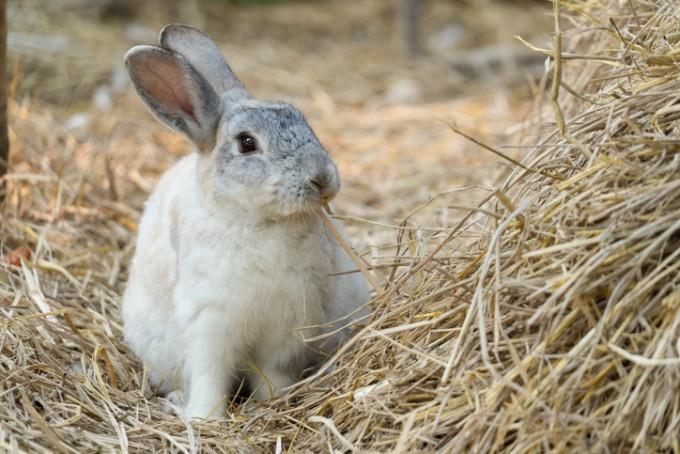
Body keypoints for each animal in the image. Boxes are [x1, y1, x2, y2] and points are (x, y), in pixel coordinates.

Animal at [119, 22, 370, 418]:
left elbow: (273, 373)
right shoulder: (210, 323)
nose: (322, 178)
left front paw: (274, 402)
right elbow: (210, 376)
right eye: (247, 144)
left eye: (304, 121)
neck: (257, 222)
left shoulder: (289, 325)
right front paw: (204, 417)